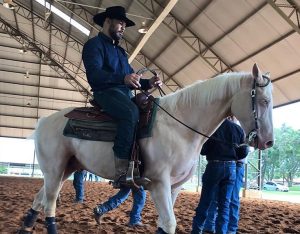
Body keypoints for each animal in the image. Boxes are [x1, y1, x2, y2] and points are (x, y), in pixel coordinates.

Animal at [19, 63, 274, 233]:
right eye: (264, 101)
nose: (268, 142)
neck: (179, 126)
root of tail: (45, 121)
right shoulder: (159, 184)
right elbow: (169, 223)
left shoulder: (175, 187)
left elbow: (163, 224)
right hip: (54, 170)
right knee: (50, 202)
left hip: (66, 169)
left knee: (39, 200)